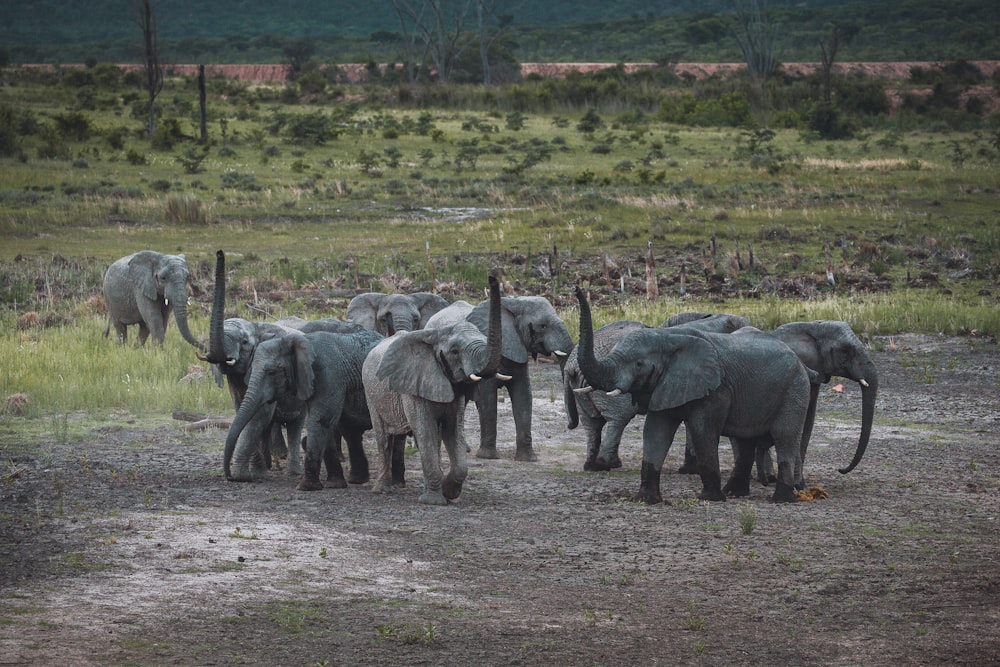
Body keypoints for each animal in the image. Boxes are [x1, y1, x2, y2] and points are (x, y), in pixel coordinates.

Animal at [223, 328, 382, 490]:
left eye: (271, 372)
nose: (230, 477)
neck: (300, 341)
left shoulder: (329, 374)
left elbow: (320, 419)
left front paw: (306, 487)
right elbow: (323, 422)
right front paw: (334, 485)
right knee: (349, 430)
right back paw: (357, 480)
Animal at [362, 276, 504, 506]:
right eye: (454, 351)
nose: (492, 277)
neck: (435, 336)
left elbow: (452, 432)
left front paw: (449, 492)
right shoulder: (413, 387)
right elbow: (425, 431)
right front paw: (433, 501)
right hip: (370, 392)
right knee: (384, 438)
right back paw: (382, 490)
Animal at [428, 292, 576, 464]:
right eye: (543, 326)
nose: (569, 426)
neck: (514, 303)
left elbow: (523, 395)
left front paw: (528, 459)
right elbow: (488, 397)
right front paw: (487, 457)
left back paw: (463, 448)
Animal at [576, 288, 816, 506]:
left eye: (638, 364)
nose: (577, 288)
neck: (668, 339)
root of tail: (801, 363)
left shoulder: (716, 389)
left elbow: (703, 432)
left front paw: (709, 498)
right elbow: (655, 433)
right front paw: (646, 499)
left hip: (795, 389)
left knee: (784, 436)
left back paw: (781, 499)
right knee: (745, 441)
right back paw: (734, 493)